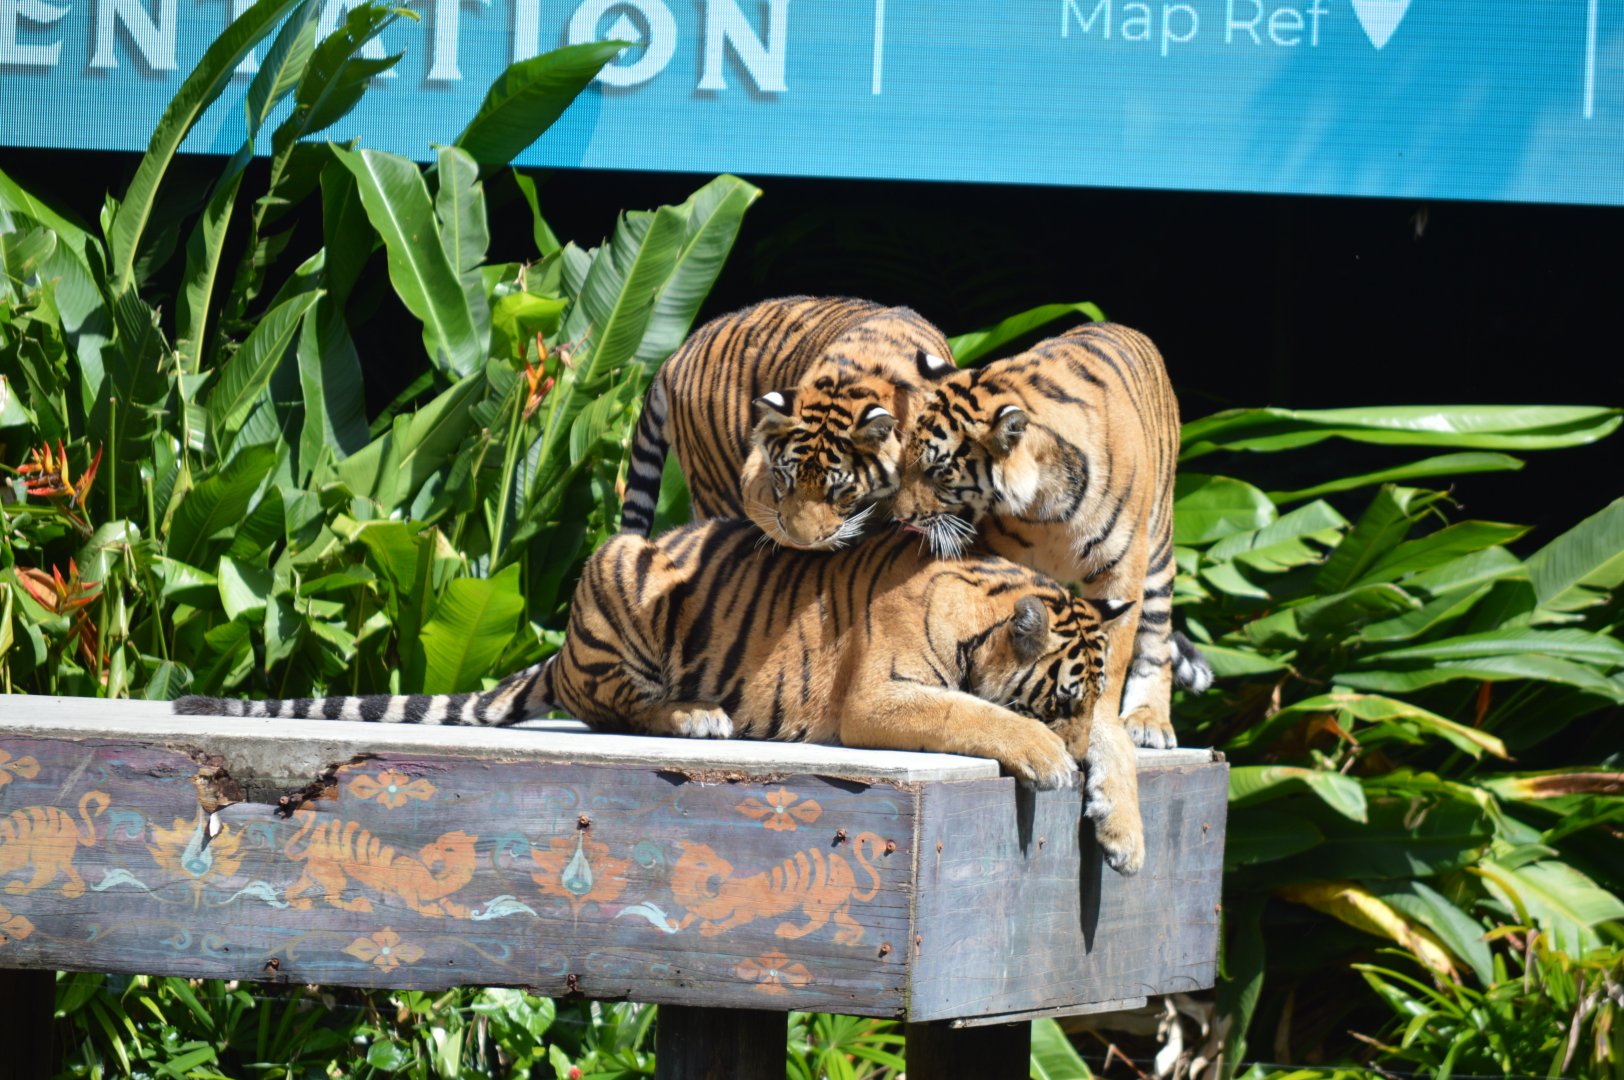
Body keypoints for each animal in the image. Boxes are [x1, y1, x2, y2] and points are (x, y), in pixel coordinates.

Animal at [176, 520, 1149, 874]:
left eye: (1088, 691)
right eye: (1058, 695)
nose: (1067, 740)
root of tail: (561, 647)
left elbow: (1122, 745)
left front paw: (1125, 836)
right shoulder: (879, 698)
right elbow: (977, 711)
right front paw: (1047, 757)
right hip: (627, 576)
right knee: (610, 702)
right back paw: (697, 714)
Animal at [282, 810, 477, 918]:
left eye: (449, 848)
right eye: (439, 845)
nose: (428, 855)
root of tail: (310, 849)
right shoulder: (406, 890)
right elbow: (417, 906)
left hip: (311, 873)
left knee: (292, 891)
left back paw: (302, 904)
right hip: (333, 874)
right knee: (331, 897)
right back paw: (360, 905)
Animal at [669, 835, 886, 945]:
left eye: (704, 861)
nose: (726, 868)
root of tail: (851, 876)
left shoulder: (744, 912)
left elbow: (726, 922)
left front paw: (708, 929)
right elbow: (693, 914)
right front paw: (675, 924)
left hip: (815, 901)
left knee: (819, 921)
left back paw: (789, 932)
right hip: (840, 907)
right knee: (850, 923)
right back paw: (846, 939)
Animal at [892, 322, 1214, 757]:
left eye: (938, 472)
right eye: (905, 460)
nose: (898, 516)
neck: (1045, 505)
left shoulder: (1123, 570)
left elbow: (1115, 653)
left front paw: (1104, 726)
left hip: (1159, 545)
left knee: (1156, 638)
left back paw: (1149, 720)